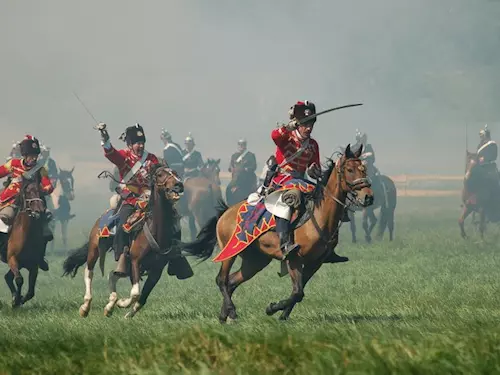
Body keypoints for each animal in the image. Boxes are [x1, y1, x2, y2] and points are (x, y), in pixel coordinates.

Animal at [0, 176, 49, 308]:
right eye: (28, 192)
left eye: (41, 191)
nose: (39, 210)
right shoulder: (12, 259)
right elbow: (19, 280)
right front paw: (17, 299)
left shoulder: (34, 265)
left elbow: (31, 291)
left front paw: (18, 299)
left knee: (7, 277)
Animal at [62, 166, 188, 318]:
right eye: (159, 174)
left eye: (175, 173)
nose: (178, 185)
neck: (156, 230)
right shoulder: (134, 261)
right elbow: (135, 293)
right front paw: (122, 303)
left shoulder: (156, 269)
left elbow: (142, 297)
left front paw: (127, 314)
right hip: (94, 249)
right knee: (89, 272)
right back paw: (85, 307)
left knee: (112, 275)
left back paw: (110, 306)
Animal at [180, 145, 372, 322]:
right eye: (350, 169)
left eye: (364, 168)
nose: (368, 197)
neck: (319, 215)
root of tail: (225, 213)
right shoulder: (294, 259)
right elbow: (298, 292)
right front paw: (272, 308)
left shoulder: (315, 263)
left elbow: (298, 292)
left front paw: (282, 314)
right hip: (230, 253)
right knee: (221, 279)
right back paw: (232, 311)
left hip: (255, 261)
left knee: (232, 281)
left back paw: (224, 315)